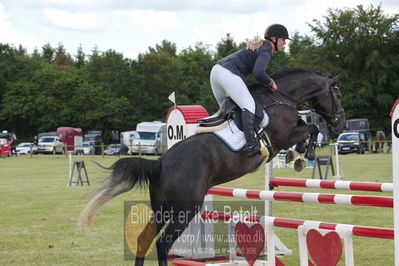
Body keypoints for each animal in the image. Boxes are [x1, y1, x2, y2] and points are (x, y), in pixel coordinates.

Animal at [79, 68, 346, 266]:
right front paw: (303, 155)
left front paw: (296, 156)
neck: (280, 98)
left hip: (163, 208)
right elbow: (312, 129)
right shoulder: (284, 134)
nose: (341, 124)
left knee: (145, 239)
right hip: (185, 209)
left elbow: (307, 129)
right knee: (162, 243)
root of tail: (160, 162)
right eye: (339, 95)